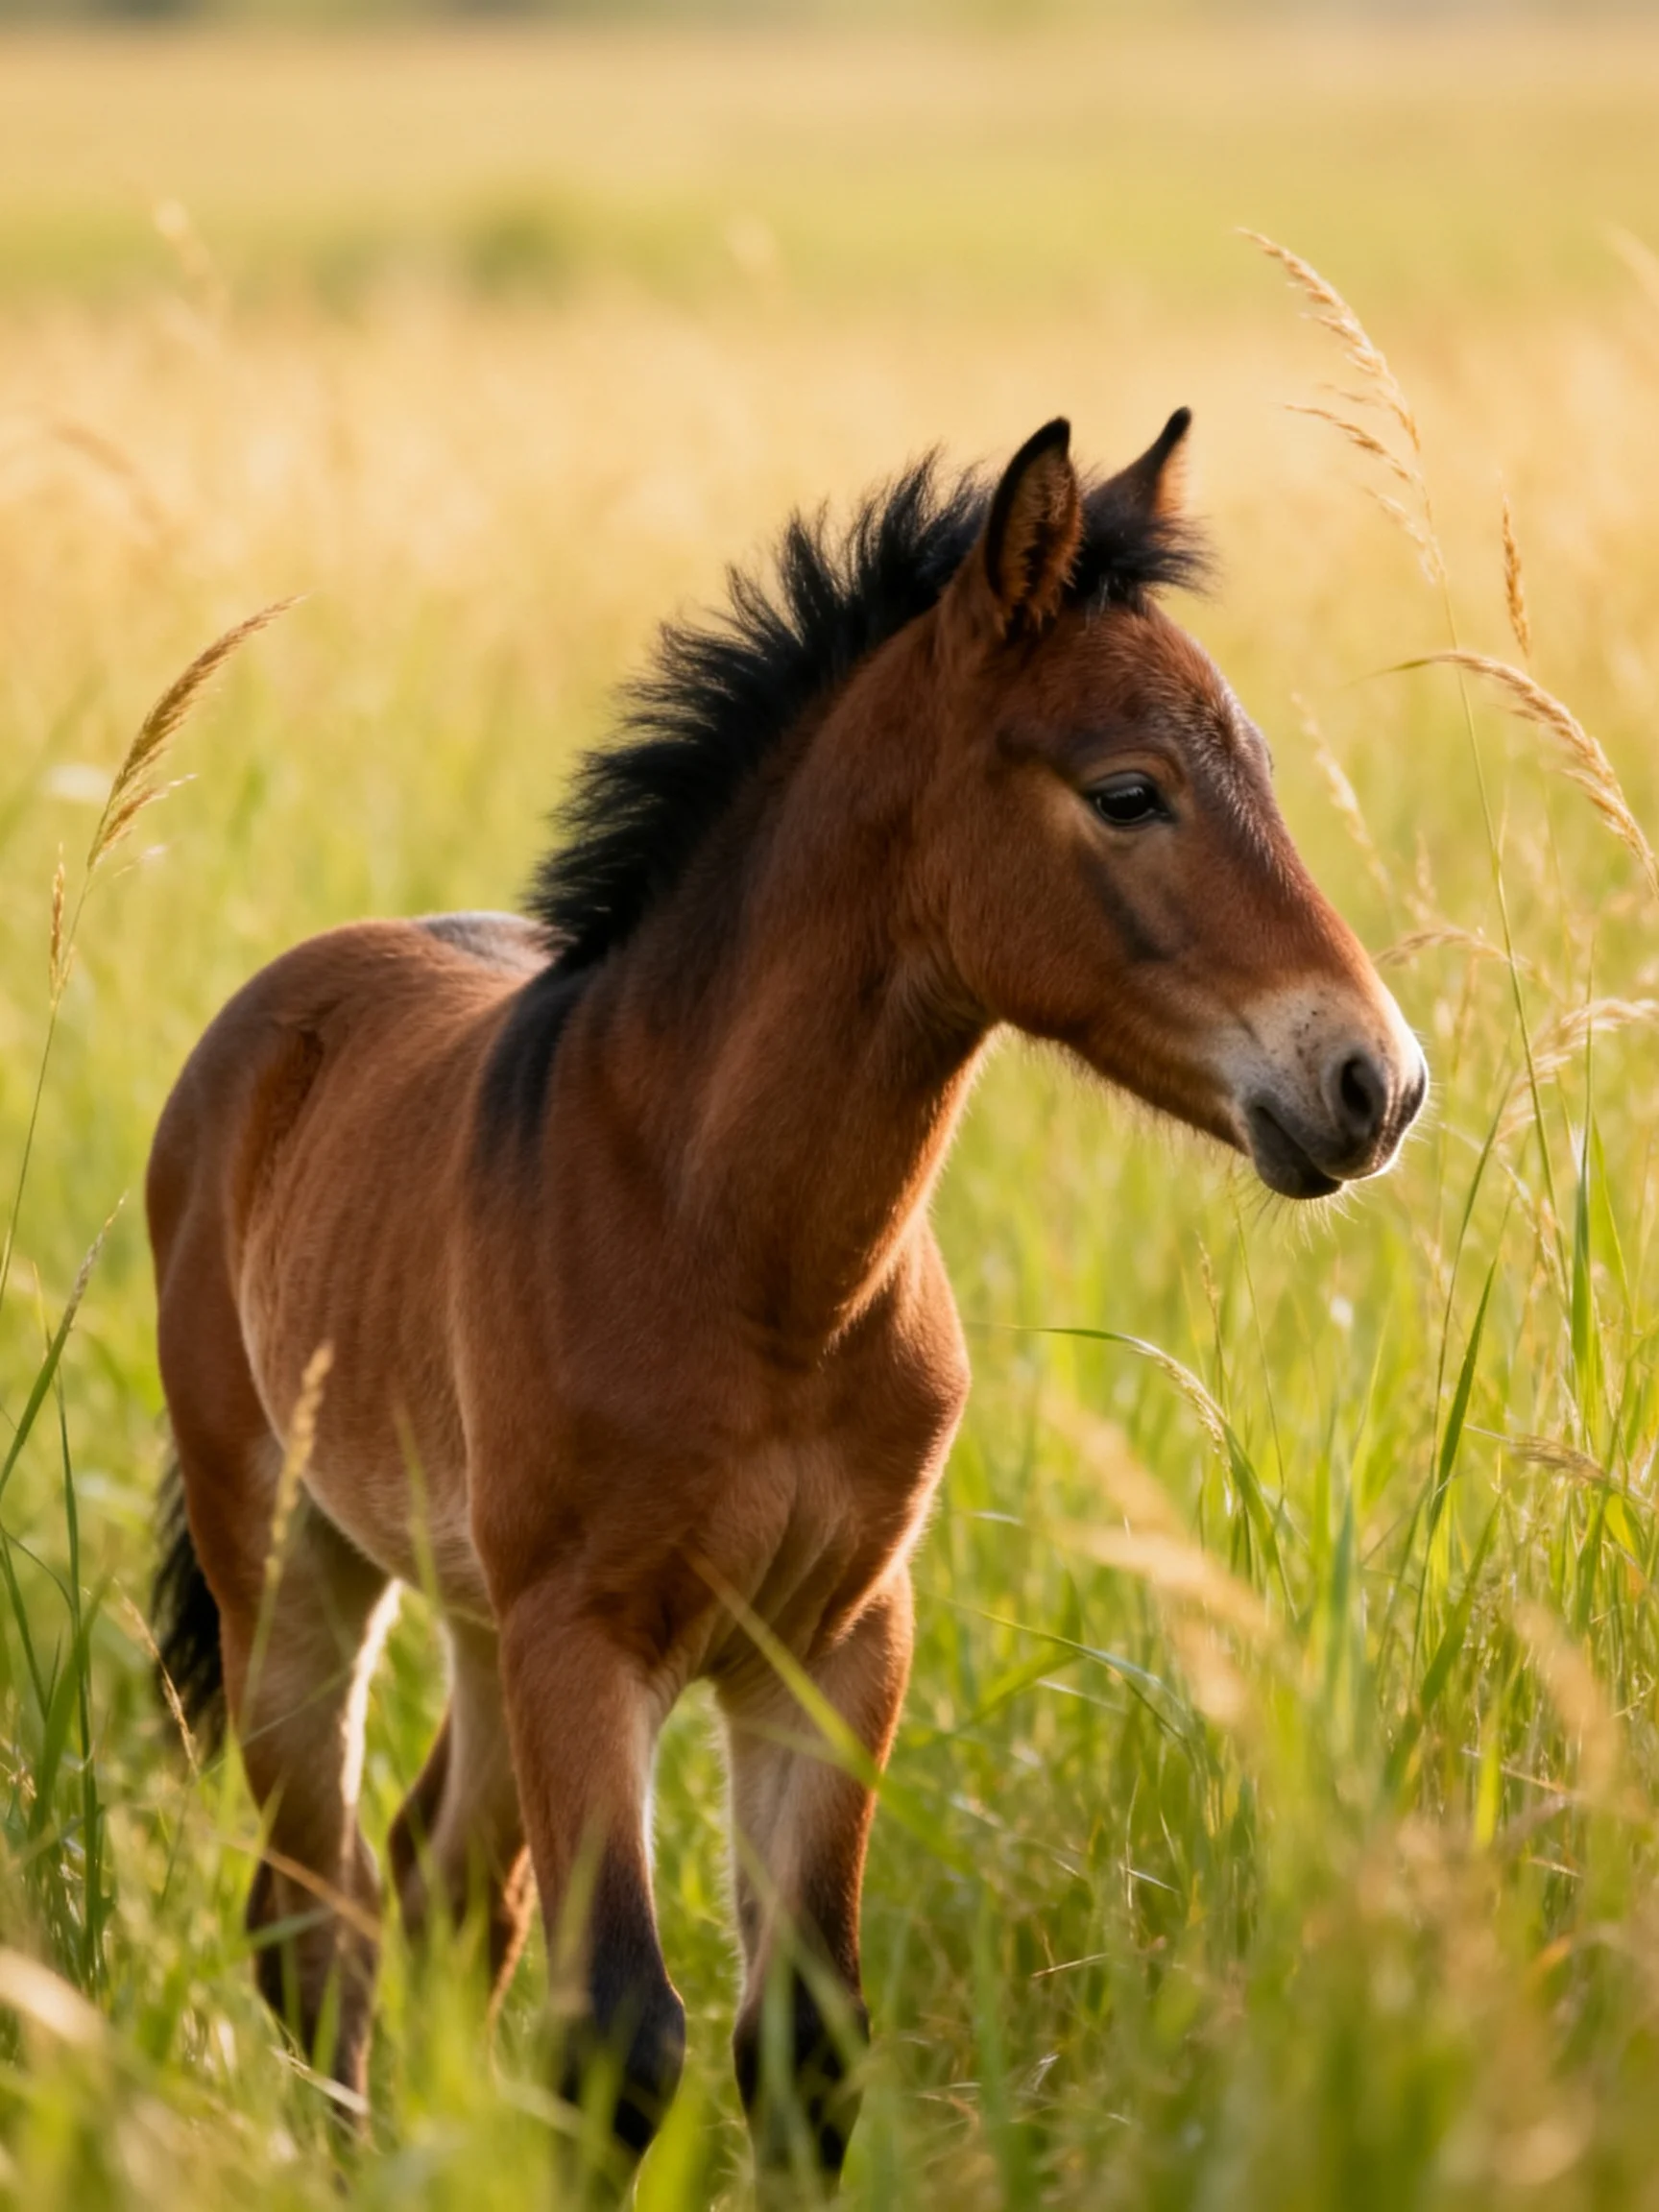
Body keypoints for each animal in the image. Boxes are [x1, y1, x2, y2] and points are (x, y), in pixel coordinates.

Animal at [148, 411, 1426, 2190]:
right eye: (1128, 791)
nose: (1373, 1081)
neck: (746, 1262)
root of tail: (269, 1018)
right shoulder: (588, 1638)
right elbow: (619, 2034)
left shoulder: (834, 1642)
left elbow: (803, 2043)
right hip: (291, 1568)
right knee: (310, 1920)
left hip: (472, 1614)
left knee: (431, 1894)